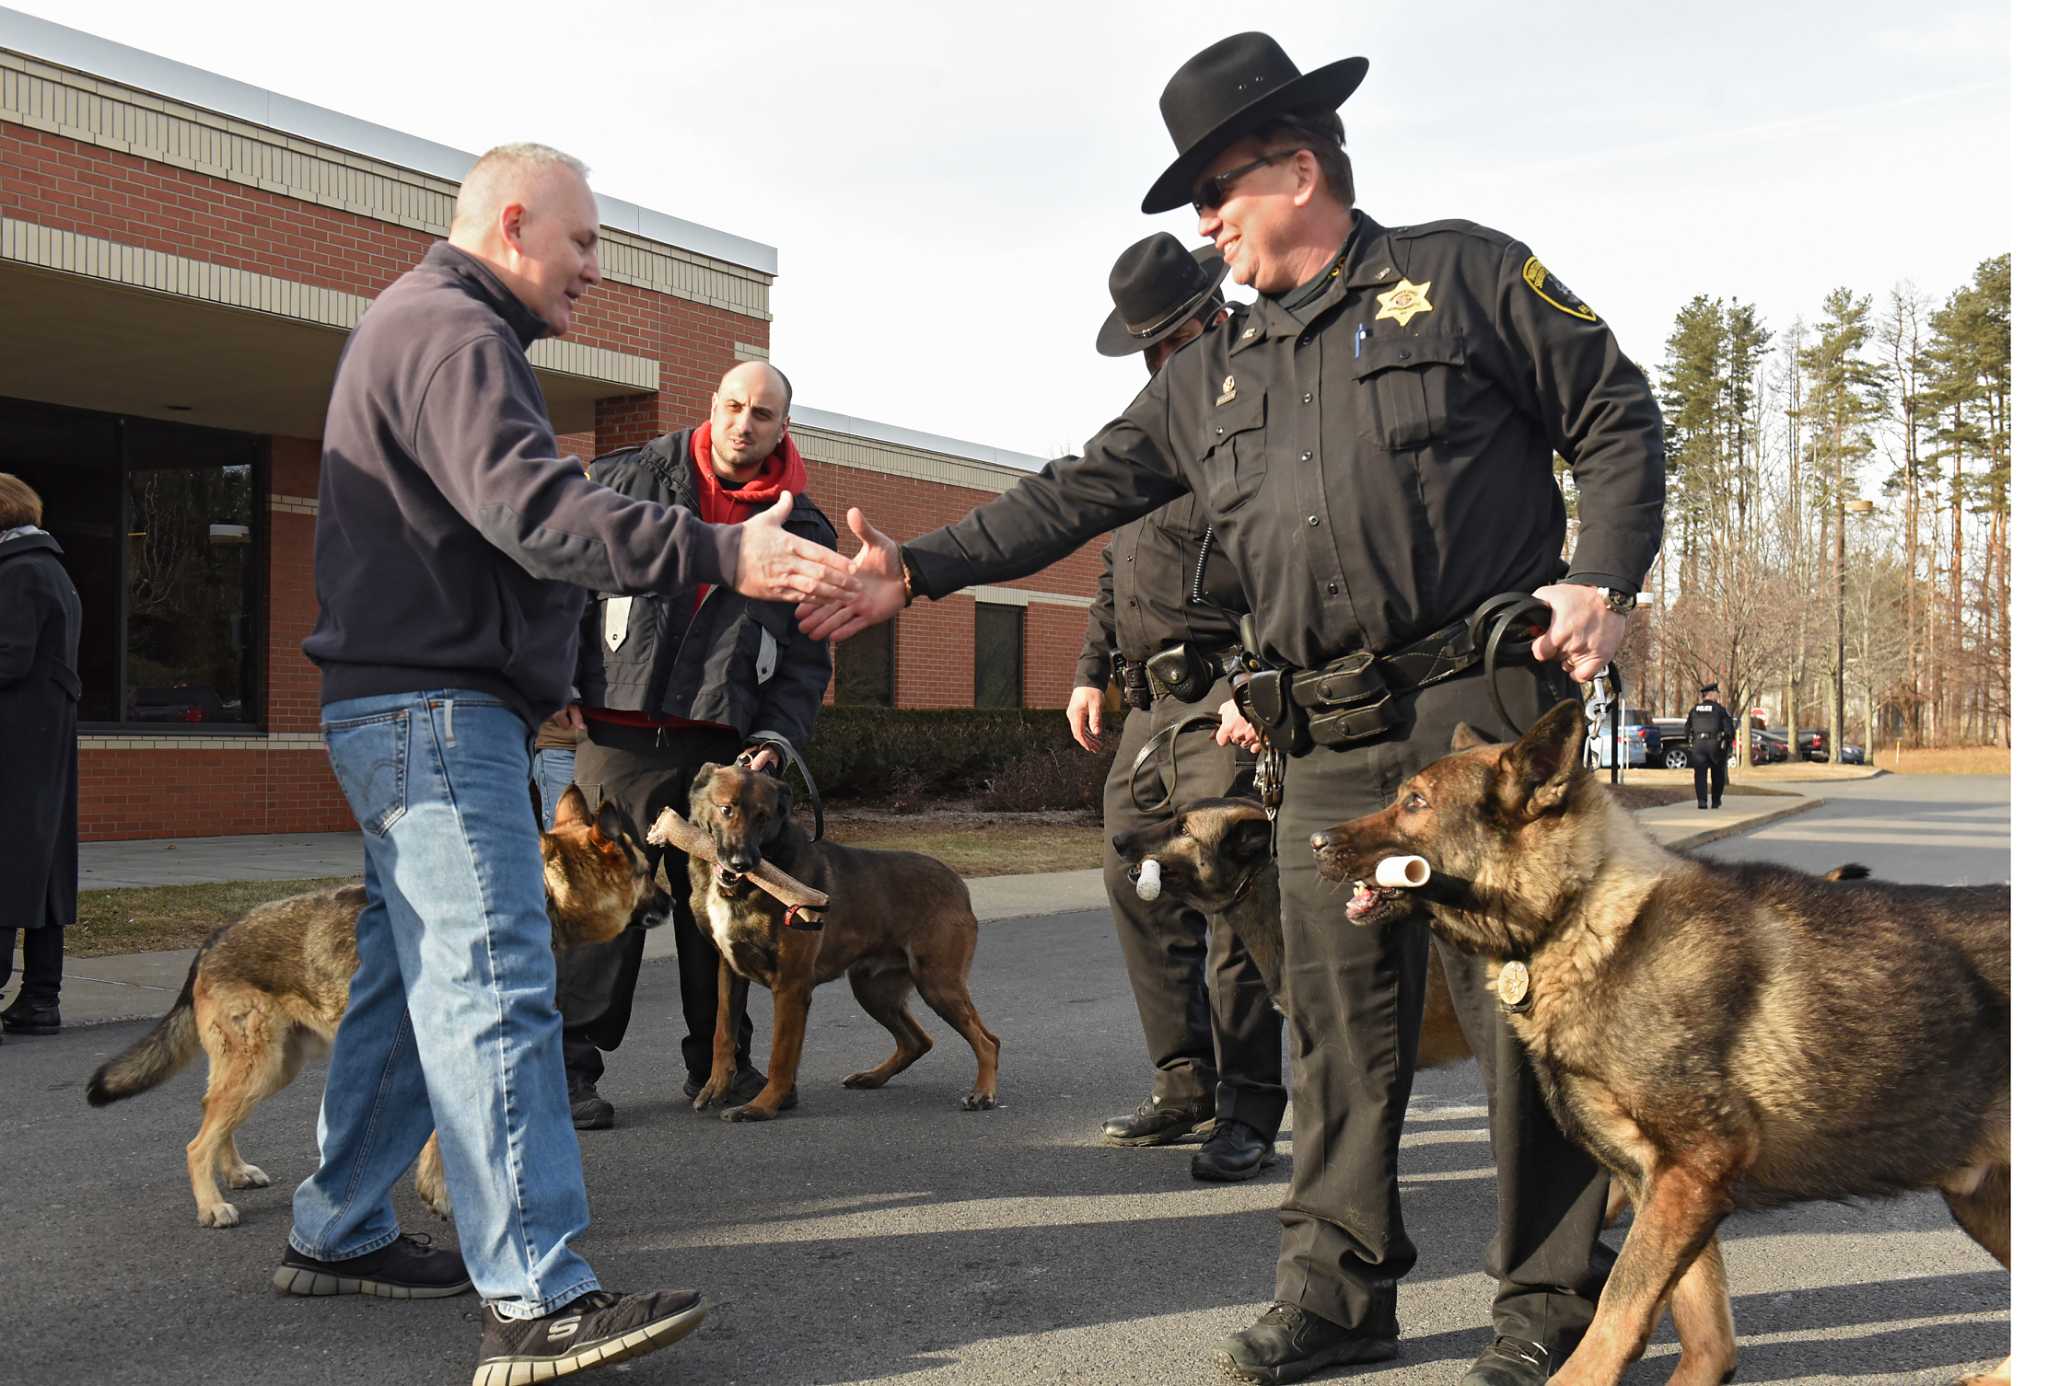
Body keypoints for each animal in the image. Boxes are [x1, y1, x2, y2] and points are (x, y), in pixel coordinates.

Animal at [88, 790, 667, 1236]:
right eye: (645, 872)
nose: (669, 900)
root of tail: (212, 941)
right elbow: (443, 1145)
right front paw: (444, 1199)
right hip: (260, 1065)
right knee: (195, 1141)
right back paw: (211, 1204)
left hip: (272, 1068)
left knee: (213, 1114)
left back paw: (234, 1172)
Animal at [688, 761, 999, 1121]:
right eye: (726, 809)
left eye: (763, 817)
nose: (742, 863)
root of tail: (959, 886)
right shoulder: (730, 973)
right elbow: (722, 1034)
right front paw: (716, 1087)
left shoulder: (791, 986)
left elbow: (781, 1056)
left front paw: (763, 1106)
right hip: (873, 990)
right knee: (918, 1041)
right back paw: (872, 1077)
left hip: (937, 984)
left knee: (988, 1041)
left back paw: (983, 1093)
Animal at [1302, 704, 2007, 1383]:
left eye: (1415, 802)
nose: (1314, 841)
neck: (1583, 912)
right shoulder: (1662, 1185)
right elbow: (1703, 1333)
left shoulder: (1692, 1169)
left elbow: (1615, 1312)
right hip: (1979, 1199)